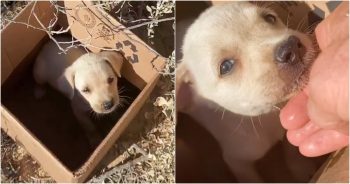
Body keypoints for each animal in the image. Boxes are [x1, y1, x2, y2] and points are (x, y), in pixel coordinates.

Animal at [1, 34, 141, 171]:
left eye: (111, 79)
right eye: (85, 90)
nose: (108, 105)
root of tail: (46, 45)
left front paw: (116, 116)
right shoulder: (78, 111)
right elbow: (89, 127)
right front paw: (95, 141)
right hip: (39, 73)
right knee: (39, 82)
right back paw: (39, 91)